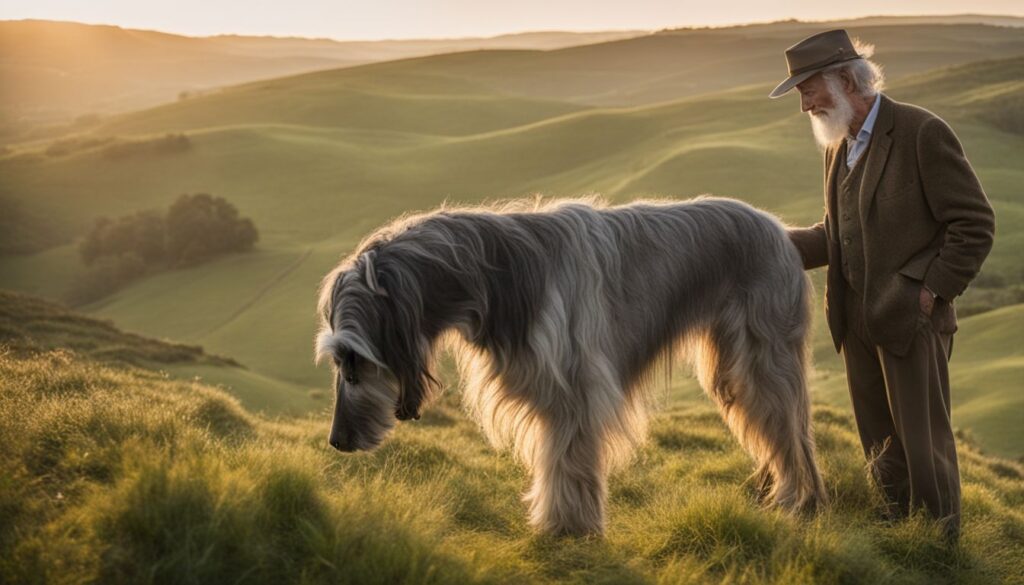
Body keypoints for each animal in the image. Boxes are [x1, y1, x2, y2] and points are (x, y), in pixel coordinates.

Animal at [315, 196, 827, 536]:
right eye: (339, 359)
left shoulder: (575, 392)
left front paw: (570, 528)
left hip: (763, 362)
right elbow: (557, 460)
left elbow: (567, 463)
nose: (337, 441)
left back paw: (800, 501)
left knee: (794, 437)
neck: (496, 276)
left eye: (353, 359)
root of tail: (782, 232)